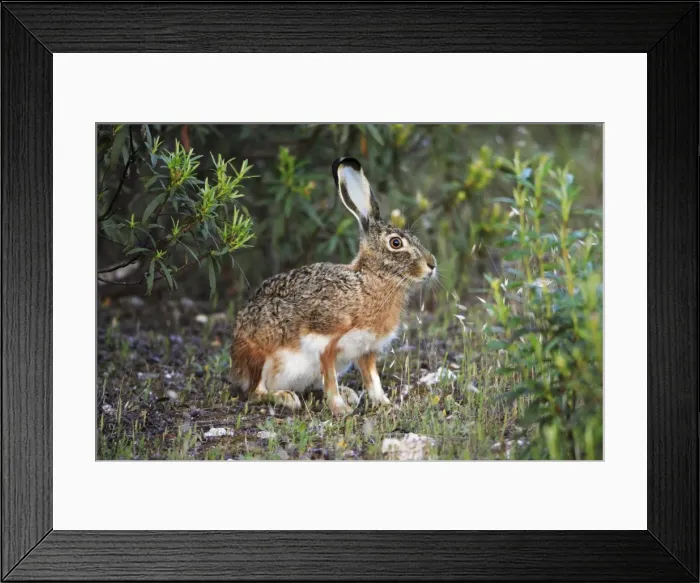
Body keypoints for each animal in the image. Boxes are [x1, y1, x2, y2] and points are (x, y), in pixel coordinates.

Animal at [230, 157, 437, 416]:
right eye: (396, 243)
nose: (432, 264)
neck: (368, 282)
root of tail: (236, 362)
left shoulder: (366, 350)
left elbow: (372, 379)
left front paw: (385, 404)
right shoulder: (325, 343)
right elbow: (330, 379)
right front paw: (340, 410)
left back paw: (349, 394)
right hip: (260, 355)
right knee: (256, 392)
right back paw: (285, 397)